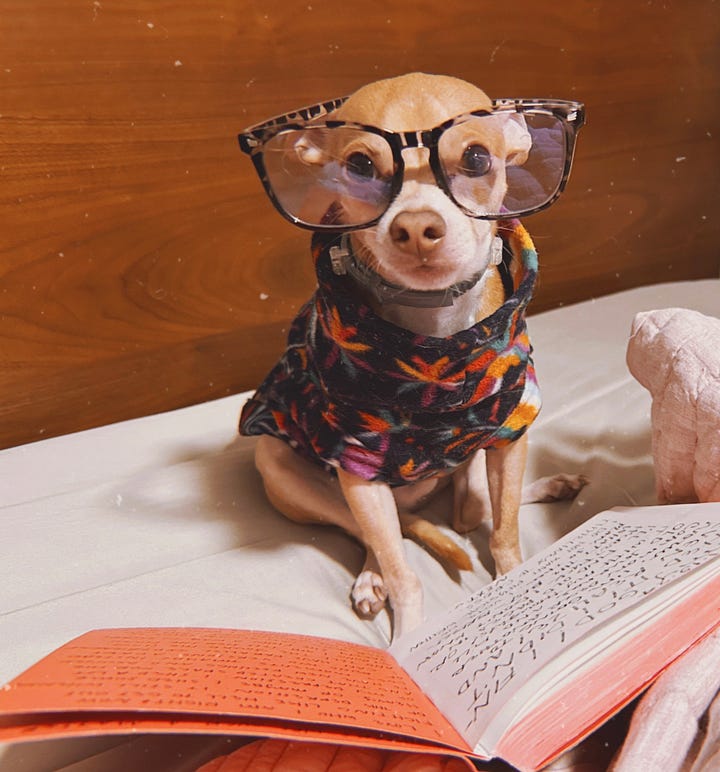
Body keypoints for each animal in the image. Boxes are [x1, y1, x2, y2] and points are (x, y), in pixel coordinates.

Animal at [239, 72, 588, 640]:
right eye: (360, 166)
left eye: (476, 158)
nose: (418, 227)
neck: (433, 349)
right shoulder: (358, 465)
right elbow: (404, 574)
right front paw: (405, 641)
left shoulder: (510, 432)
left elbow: (505, 532)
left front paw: (513, 582)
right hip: (282, 468)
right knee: (383, 535)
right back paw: (369, 578)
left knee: (473, 511)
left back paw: (548, 485)